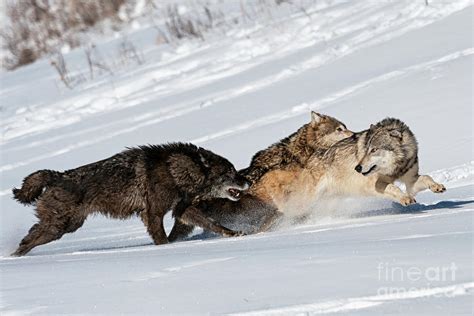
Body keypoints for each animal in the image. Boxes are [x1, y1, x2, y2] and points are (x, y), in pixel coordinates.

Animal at [11, 142, 248, 256]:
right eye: (231, 172)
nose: (247, 181)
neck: (175, 169)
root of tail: (57, 175)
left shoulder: (181, 209)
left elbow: (213, 223)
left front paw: (233, 234)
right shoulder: (153, 213)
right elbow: (162, 238)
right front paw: (165, 250)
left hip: (67, 225)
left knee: (30, 235)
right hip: (60, 227)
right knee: (28, 240)